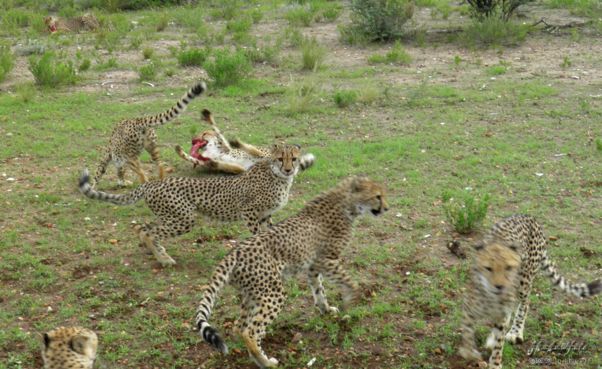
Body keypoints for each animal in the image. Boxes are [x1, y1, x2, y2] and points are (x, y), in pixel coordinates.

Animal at [78, 142, 310, 266]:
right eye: (280, 158)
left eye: (294, 158)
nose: (289, 169)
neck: (278, 176)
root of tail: (153, 183)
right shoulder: (250, 211)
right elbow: (258, 236)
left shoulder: (266, 215)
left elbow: (272, 234)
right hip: (183, 218)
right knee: (150, 232)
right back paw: (164, 259)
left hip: (170, 216)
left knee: (143, 228)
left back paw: (152, 251)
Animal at [176, 108, 314, 174]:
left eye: (204, 134)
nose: (193, 140)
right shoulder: (238, 169)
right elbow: (197, 159)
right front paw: (180, 152)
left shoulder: (226, 147)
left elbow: (217, 130)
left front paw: (207, 116)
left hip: (265, 154)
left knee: (254, 150)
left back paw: (237, 142)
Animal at [193, 175, 390, 366]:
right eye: (377, 196)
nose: (387, 208)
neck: (346, 202)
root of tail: (233, 252)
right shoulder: (327, 260)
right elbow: (349, 281)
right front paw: (353, 298)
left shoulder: (314, 265)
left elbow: (319, 289)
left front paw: (326, 309)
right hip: (273, 293)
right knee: (250, 331)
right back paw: (266, 362)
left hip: (252, 293)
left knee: (239, 326)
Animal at [458, 214, 596, 366]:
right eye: (488, 268)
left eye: (508, 267)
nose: (499, 286)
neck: (490, 296)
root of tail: (528, 216)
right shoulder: (469, 312)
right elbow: (467, 332)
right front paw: (468, 352)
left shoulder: (501, 314)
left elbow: (499, 342)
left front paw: (495, 364)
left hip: (524, 281)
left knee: (524, 304)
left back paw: (515, 332)